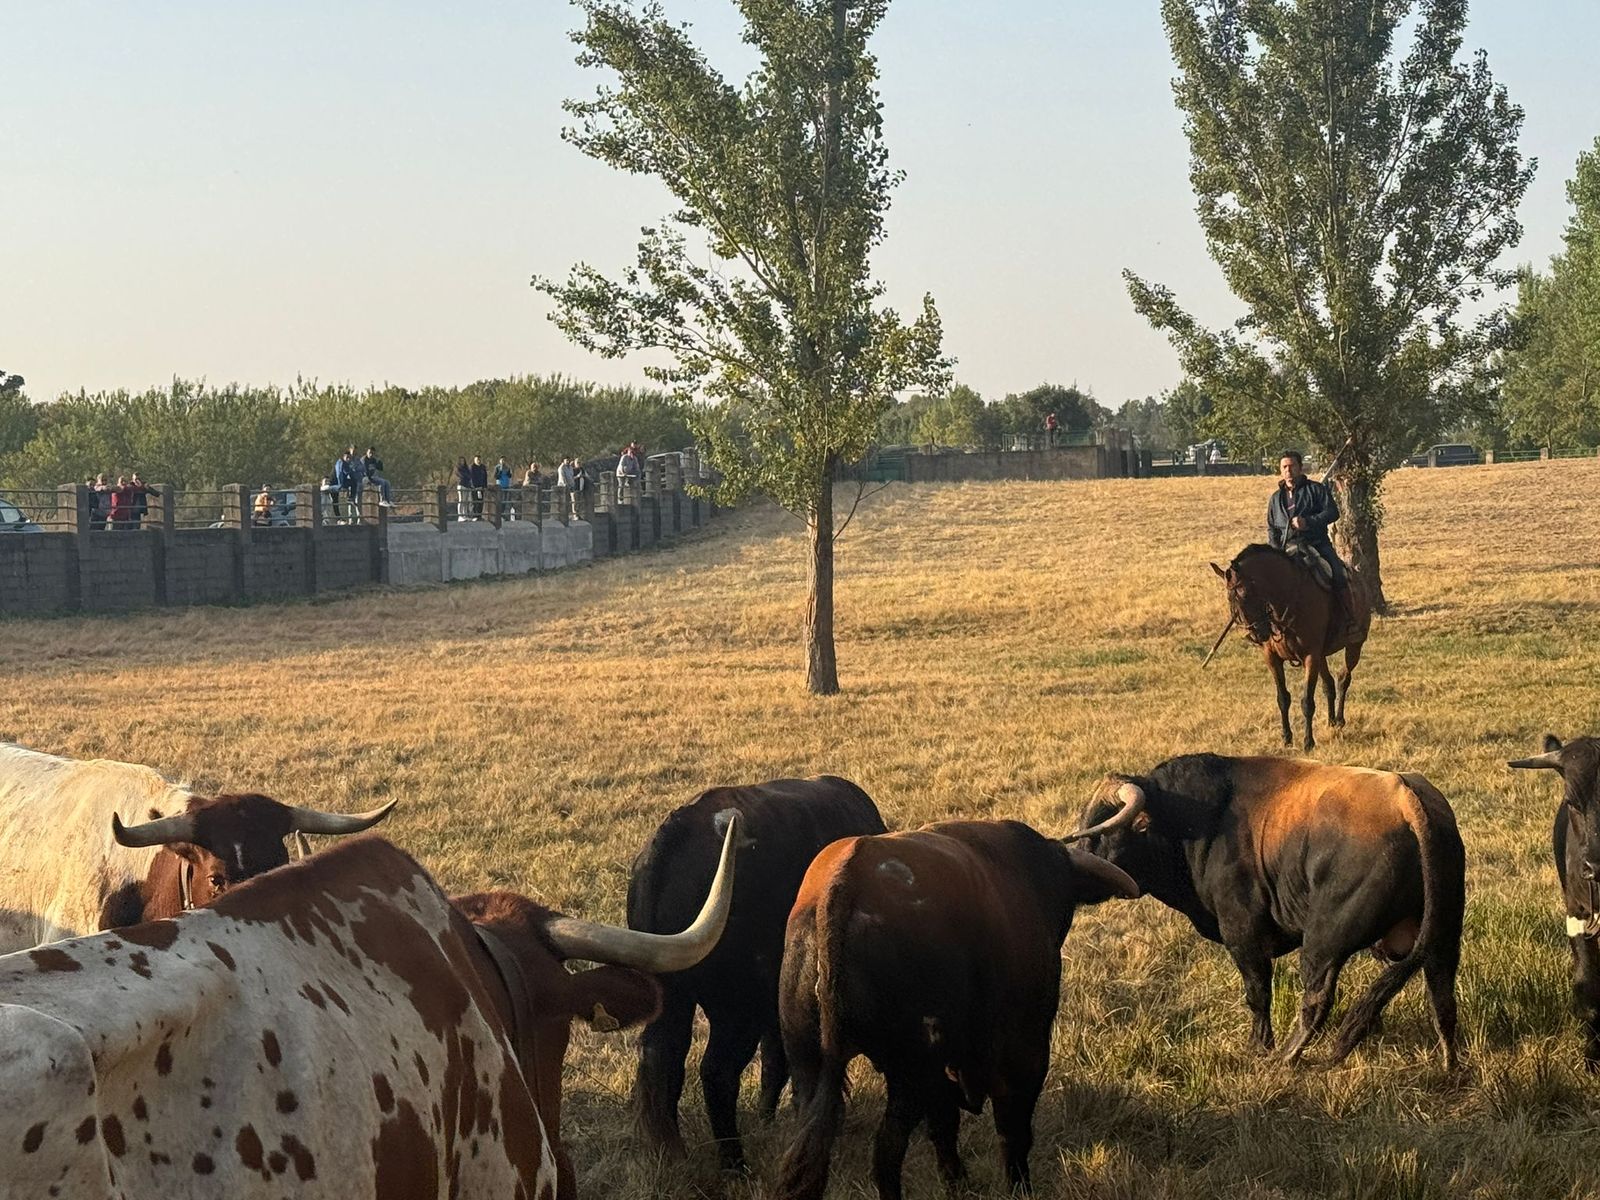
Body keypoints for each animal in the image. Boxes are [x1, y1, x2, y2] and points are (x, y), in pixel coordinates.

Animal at [1205, 544, 1371, 751]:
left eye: (1246, 594)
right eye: (1229, 598)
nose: (1256, 634)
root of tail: (1360, 580)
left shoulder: (1310, 656)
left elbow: (1307, 701)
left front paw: (1308, 742)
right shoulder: (1272, 658)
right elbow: (1283, 698)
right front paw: (1286, 737)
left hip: (1354, 646)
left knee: (1343, 679)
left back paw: (1340, 720)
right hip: (1322, 656)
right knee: (1329, 684)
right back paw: (1331, 721)